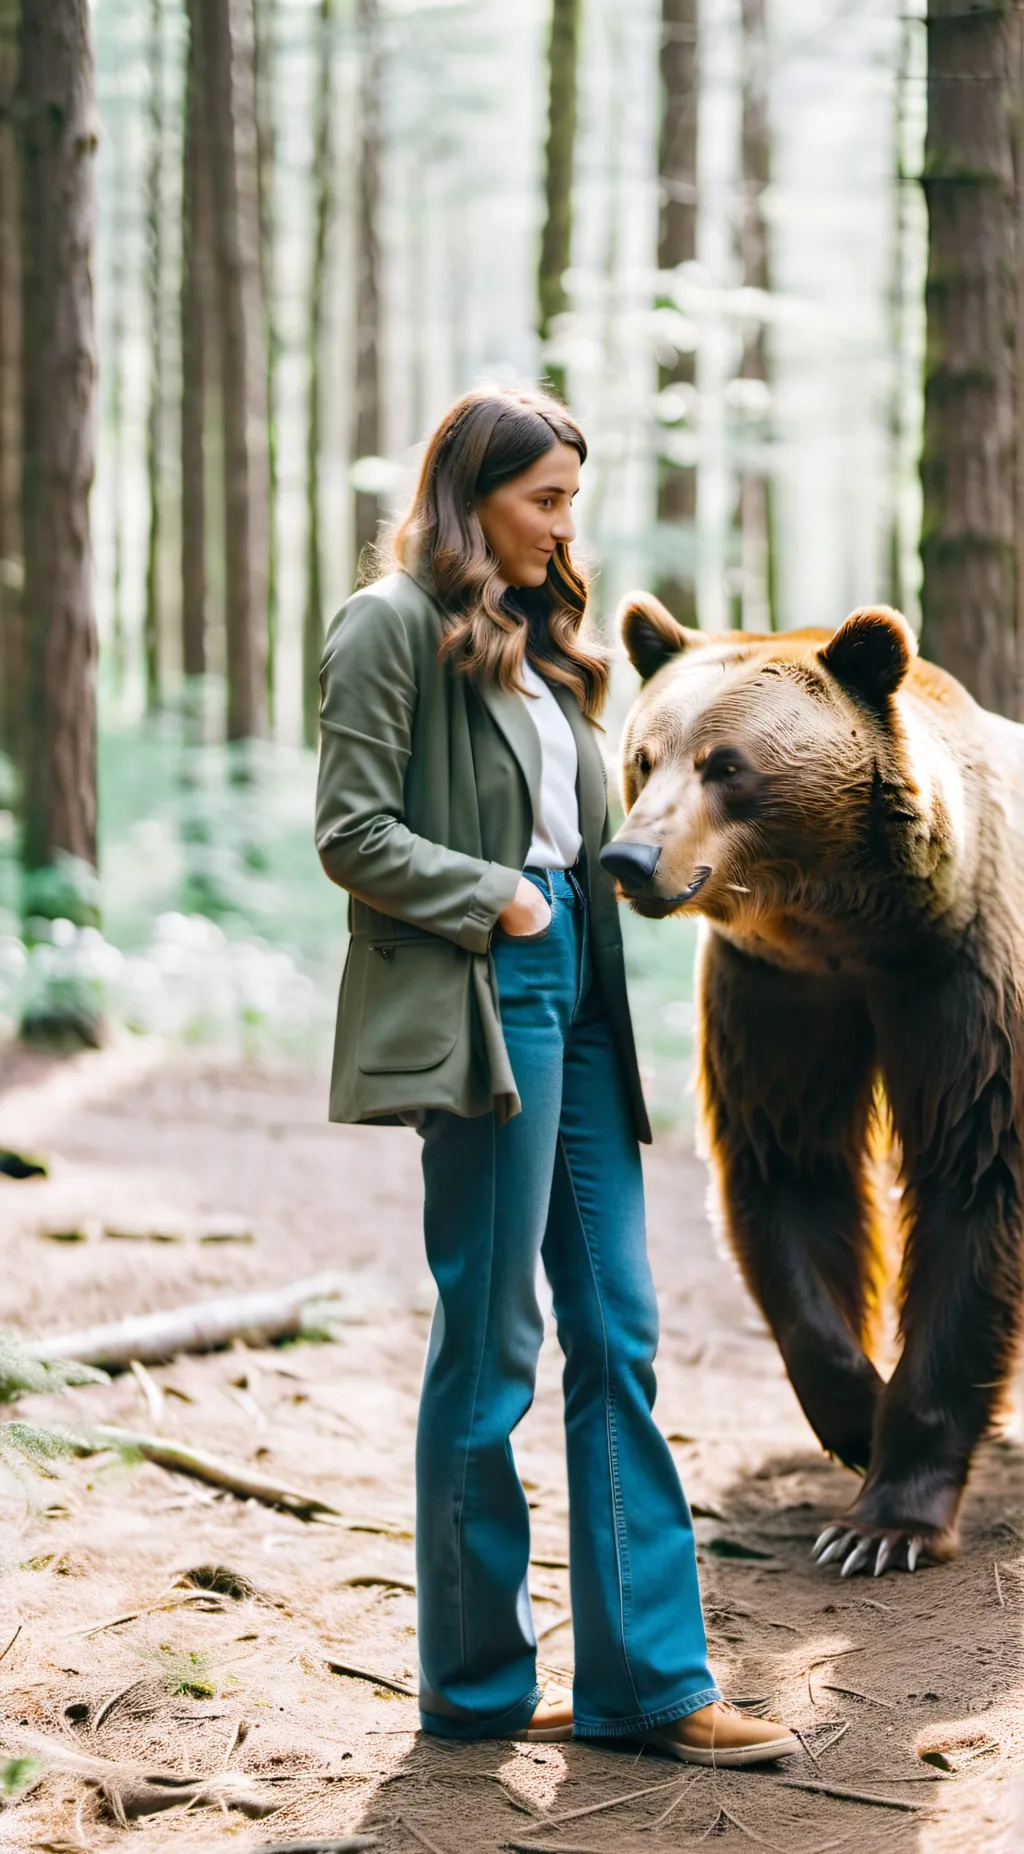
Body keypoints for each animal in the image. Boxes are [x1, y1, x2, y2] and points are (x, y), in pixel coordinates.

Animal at [599, 592, 1024, 1578]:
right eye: (643, 756)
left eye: (727, 765)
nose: (630, 861)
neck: (847, 926)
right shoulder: (776, 990)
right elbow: (789, 1170)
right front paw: (857, 1415)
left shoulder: (961, 971)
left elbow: (973, 1176)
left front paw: (883, 1525)